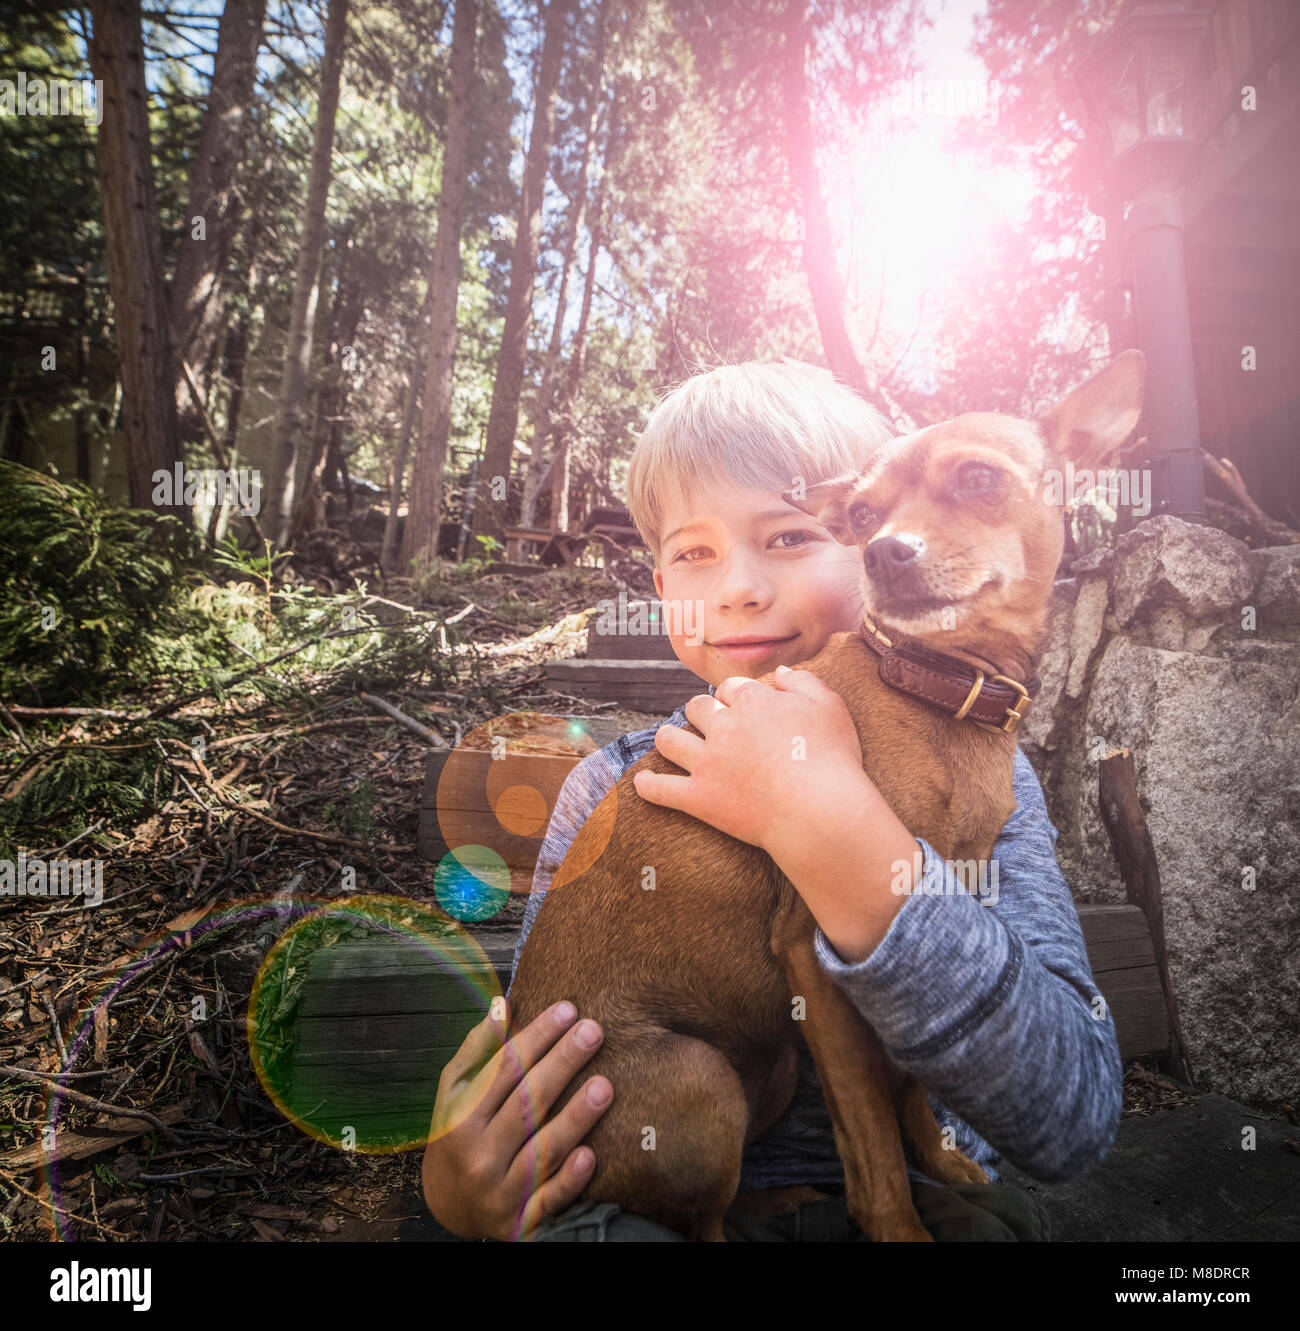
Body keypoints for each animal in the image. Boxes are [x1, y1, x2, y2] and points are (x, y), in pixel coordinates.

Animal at [508, 351, 1144, 1235]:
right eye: (865, 513)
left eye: (979, 478)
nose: (883, 551)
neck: (934, 692)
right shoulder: (816, 956)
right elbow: (869, 1133)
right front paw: (899, 1222)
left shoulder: (908, 932)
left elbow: (910, 1078)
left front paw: (940, 1157)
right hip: (702, 1080)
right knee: (699, 1220)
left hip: (770, 1065)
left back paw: (785, 1193)